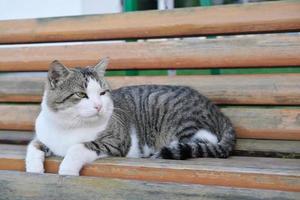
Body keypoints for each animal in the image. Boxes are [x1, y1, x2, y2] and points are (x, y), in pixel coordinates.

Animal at [25, 57, 236, 175]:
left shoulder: (116, 141)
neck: (69, 125)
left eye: (102, 93)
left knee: (205, 141)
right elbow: (33, 147)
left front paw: (67, 169)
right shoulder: (43, 136)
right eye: (81, 94)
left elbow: (78, 147)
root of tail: (217, 110)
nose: (99, 105)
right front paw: (34, 169)